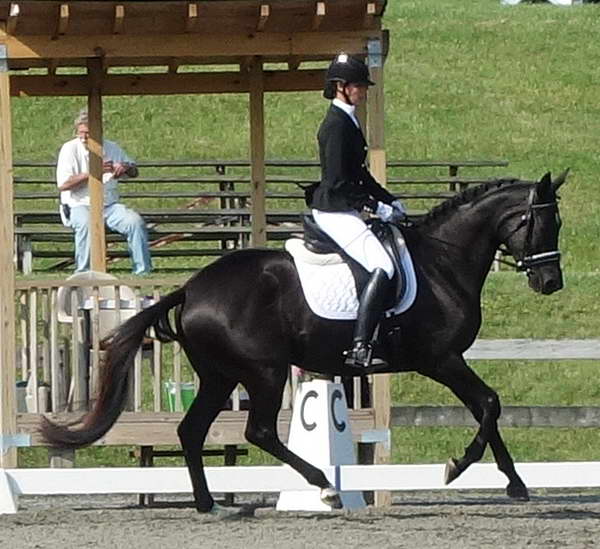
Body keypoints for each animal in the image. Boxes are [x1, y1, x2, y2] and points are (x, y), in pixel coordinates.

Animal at [41, 170, 568, 512]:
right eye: (543, 222)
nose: (551, 283)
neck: (442, 263)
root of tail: (192, 287)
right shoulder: (440, 358)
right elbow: (489, 404)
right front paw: (458, 468)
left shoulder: (446, 360)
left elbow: (486, 408)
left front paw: (515, 483)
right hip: (265, 371)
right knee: (259, 431)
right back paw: (324, 487)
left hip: (219, 375)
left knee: (191, 431)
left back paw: (210, 504)